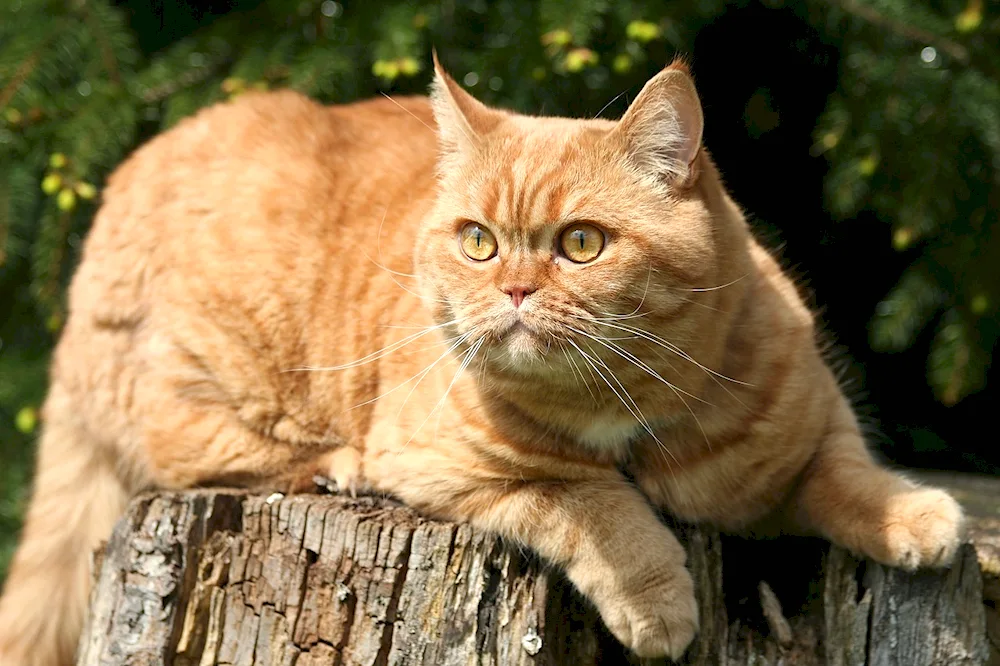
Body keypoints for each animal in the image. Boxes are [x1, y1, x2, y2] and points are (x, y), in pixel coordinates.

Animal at [0, 58, 968, 664]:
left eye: (581, 243)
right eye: (477, 240)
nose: (512, 289)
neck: (632, 411)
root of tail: (128, 173)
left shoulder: (808, 417)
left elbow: (847, 471)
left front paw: (918, 518)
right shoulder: (452, 465)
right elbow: (590, 500)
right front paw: (657, 599)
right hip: (214, 382)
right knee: (194, 449)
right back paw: (330, 465)